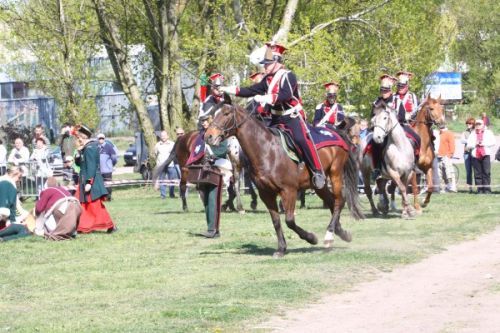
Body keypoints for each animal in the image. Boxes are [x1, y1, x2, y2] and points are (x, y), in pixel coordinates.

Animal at [204, 104, 364, 256]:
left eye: (226, 113)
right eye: (213, 113)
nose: (208, 136)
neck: (266, 150)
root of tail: (335, 132)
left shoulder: (289, 191)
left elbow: (289, 220)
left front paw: (311, 238)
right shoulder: (266, 194)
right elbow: (276, 221)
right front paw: (281, 248)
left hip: (335, 173)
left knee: (339, 201)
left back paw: (329, 235)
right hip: (319, 184)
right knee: (332, 201)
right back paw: (341, 233)